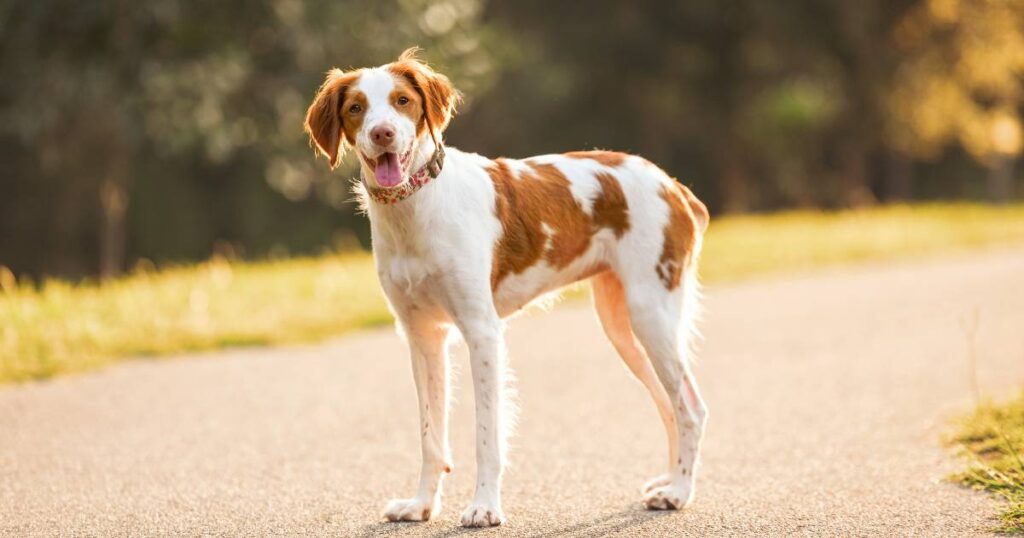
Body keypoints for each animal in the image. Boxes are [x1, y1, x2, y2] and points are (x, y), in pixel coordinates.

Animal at [299, 48, 708, 524]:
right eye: (355, 108)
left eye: (402, 101)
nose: (383, 133)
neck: (415, 210)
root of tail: (673, 185)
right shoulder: (422, 336)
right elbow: (430, 436)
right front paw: (421, 505)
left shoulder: (482, 331)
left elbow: (486, 433)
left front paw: (484, 506)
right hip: (620, 322)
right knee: (667, 405)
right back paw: (669, 482)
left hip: (650, 311)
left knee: (690, 407)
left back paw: (679, 492)